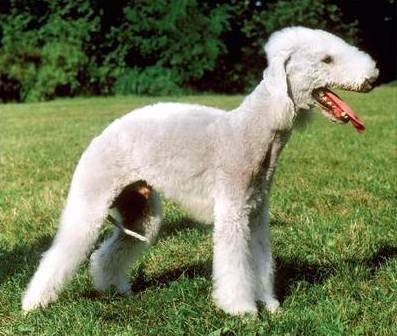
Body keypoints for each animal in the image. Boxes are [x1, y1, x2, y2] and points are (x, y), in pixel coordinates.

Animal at [22, 26, 378, 316]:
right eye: (327, 59)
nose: (373, 78)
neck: (254, 129)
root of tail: (101, 135)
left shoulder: (256, 214)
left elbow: (260, 261)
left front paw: (270, 304)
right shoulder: (232, 212)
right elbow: (235, 266)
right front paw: (242, 309)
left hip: (140, 209)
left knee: (106, 253)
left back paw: (113, 287)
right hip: (91, 198)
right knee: (60, 252)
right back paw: (33, 304)